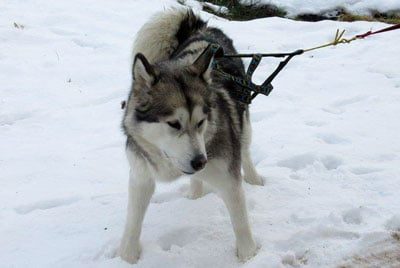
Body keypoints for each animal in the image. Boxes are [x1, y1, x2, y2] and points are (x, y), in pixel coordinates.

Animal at [119, 8, 262, 264]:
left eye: (201, 122)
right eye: (174, 124)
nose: (200, 161)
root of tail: (203, 27)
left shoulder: (228, 178)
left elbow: (241, 222)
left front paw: (248, 256)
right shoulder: (140, 175)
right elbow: (133, 221)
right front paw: (127, 256)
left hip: (243, 120)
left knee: (244, 149)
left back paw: (254, 178)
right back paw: (195, 193)